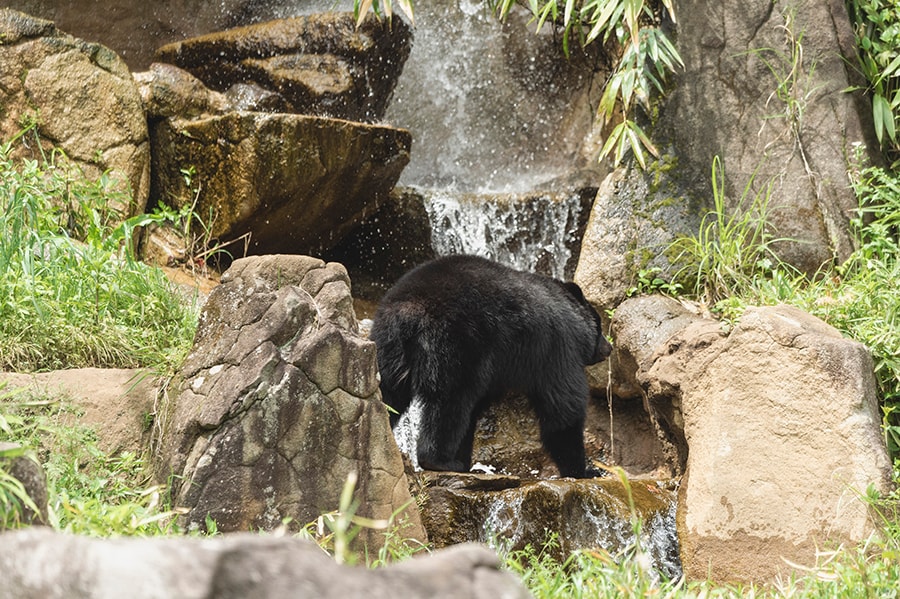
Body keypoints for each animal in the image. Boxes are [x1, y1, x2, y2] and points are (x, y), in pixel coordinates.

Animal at [370, 253, 612, 478]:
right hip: (456, 342)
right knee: (450, 401)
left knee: (389, 394)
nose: (608, 347)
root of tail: (408, 311)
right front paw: (584, 470)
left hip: (387, 348)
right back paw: (440, 460)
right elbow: (564, 405)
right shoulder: (556, 348)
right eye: (600, 324)